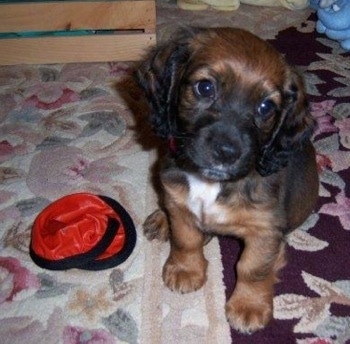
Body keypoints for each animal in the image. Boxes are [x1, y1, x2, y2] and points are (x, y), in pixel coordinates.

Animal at [135, 26, 318, 334]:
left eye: (266, 107)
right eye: (205, 88)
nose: (226, 152)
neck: (213, 183)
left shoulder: (264, 230)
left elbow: (252, 268)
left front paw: (248, 306)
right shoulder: (180, 205)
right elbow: (185, 240)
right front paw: (186, 270)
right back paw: (161, 218)